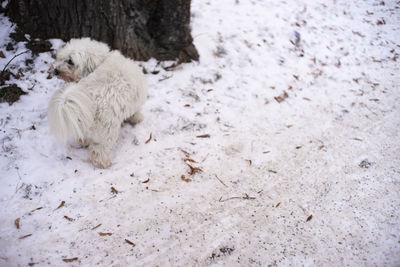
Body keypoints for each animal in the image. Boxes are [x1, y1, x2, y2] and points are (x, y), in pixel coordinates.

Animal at [48, 38, 148, 168]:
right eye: (61, 57)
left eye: (70, 61)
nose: (55, 70)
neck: (102, 60)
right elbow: (135, 113)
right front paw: (138, 119)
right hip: (107, 132)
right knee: (98, 151)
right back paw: (104, 163)